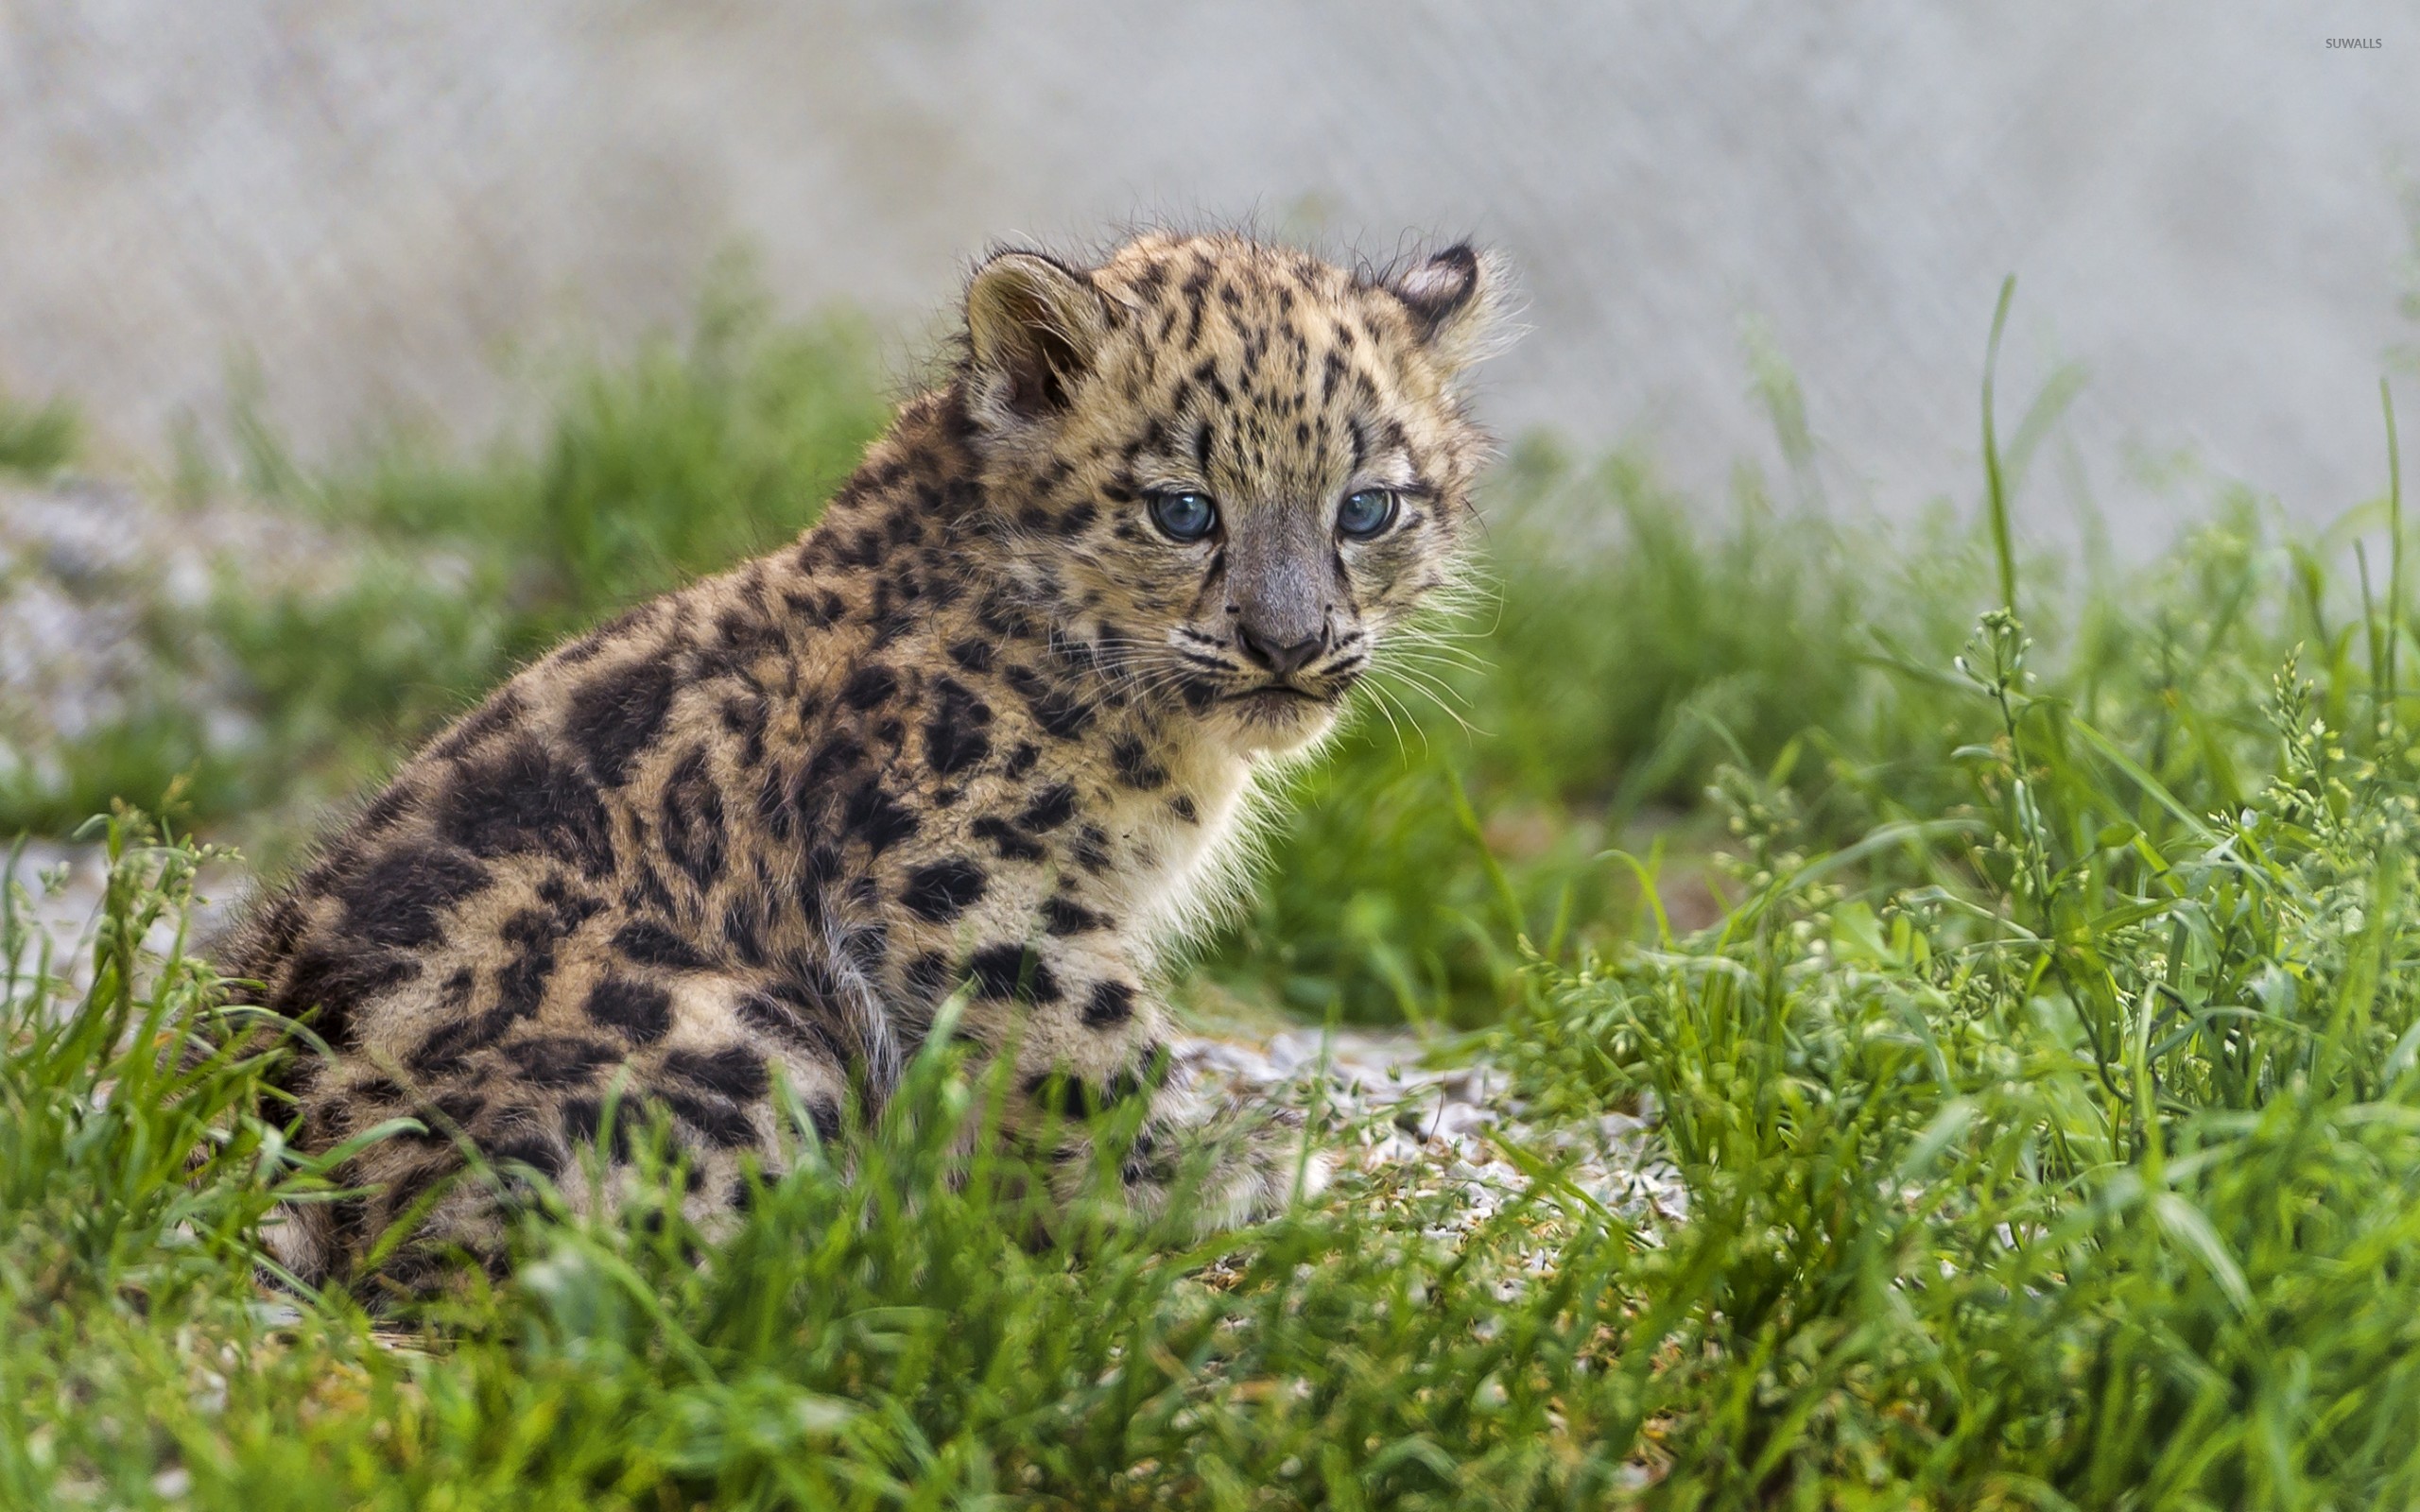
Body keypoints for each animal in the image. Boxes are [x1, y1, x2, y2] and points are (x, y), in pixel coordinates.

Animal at [212, 230, 1507, 1294]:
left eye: (1368, 507)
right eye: (1182, 510)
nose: (1288, 643)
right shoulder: (976, 887)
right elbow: (1092, 1052)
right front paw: (1214, 1178)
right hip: (742, 1036)